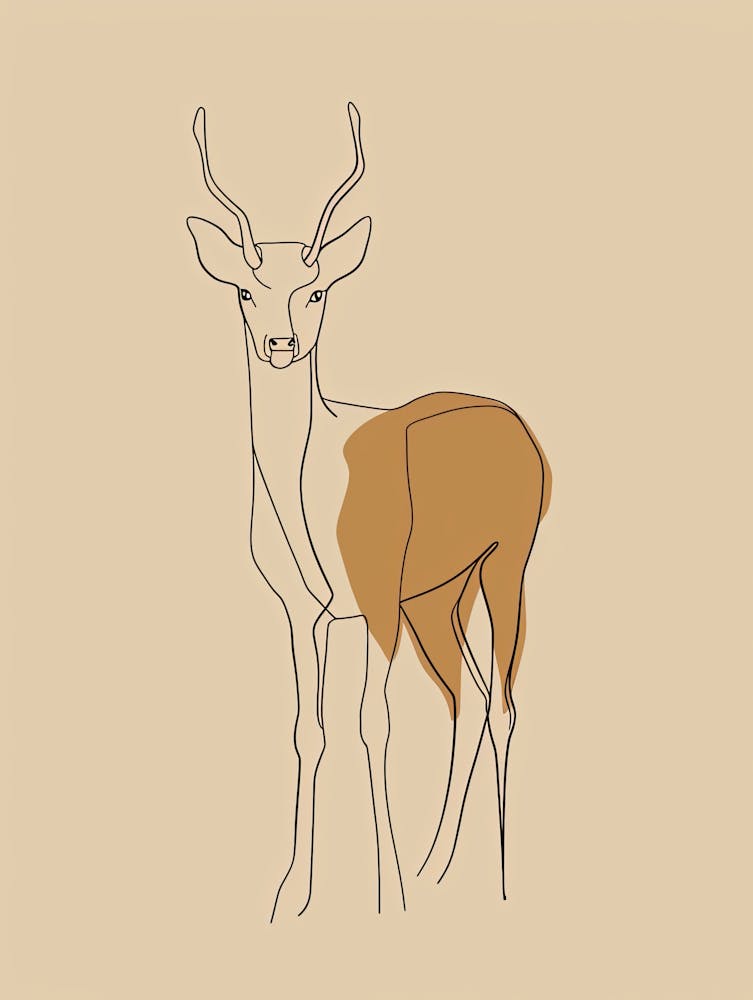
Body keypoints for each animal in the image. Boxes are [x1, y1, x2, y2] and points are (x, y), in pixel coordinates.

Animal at [186, 102, 551, 922]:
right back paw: (436, 867)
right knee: (466, 699)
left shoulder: (375, 602)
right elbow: (310, 730)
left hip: (503, 566)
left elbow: (371, 725)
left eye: (317, 290)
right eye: (246, 291)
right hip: (438, 598)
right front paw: (292, 896)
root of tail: (516, 424)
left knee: (504, 702)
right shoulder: (304, 611)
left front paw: (387, 897)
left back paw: (498, 883)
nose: (281, 343)